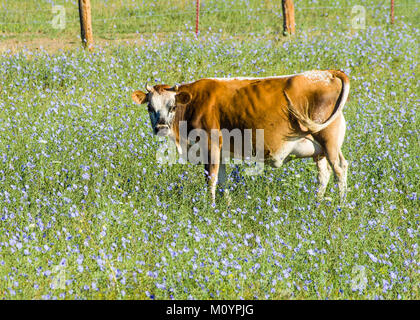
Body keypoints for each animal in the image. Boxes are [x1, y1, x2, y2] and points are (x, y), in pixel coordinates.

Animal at [133, 70, 350, 202]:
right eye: (150, 107)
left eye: (172, 106)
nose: (161, 126)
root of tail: (326, 73)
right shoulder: (219, 151)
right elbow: (222, 180)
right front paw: (226, 205)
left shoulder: (210, 145)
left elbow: (211, 178)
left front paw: (209, 206)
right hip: (318, 149)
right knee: (324, 174)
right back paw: (317, 203)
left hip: (328, 140)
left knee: (339, 169)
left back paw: (340, 205)